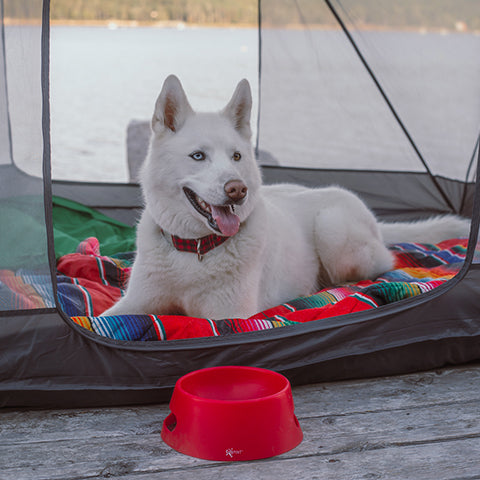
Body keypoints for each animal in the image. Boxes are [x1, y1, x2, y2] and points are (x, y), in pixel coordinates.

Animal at [104, 76, 468, 318]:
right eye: (198, 156)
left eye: (236, 156)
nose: (237, 189)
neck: (195, 251)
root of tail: (376, 223)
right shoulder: (131, 305)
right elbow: (105, 319)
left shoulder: (226, 320)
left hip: (335, 231)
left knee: (385, 263)